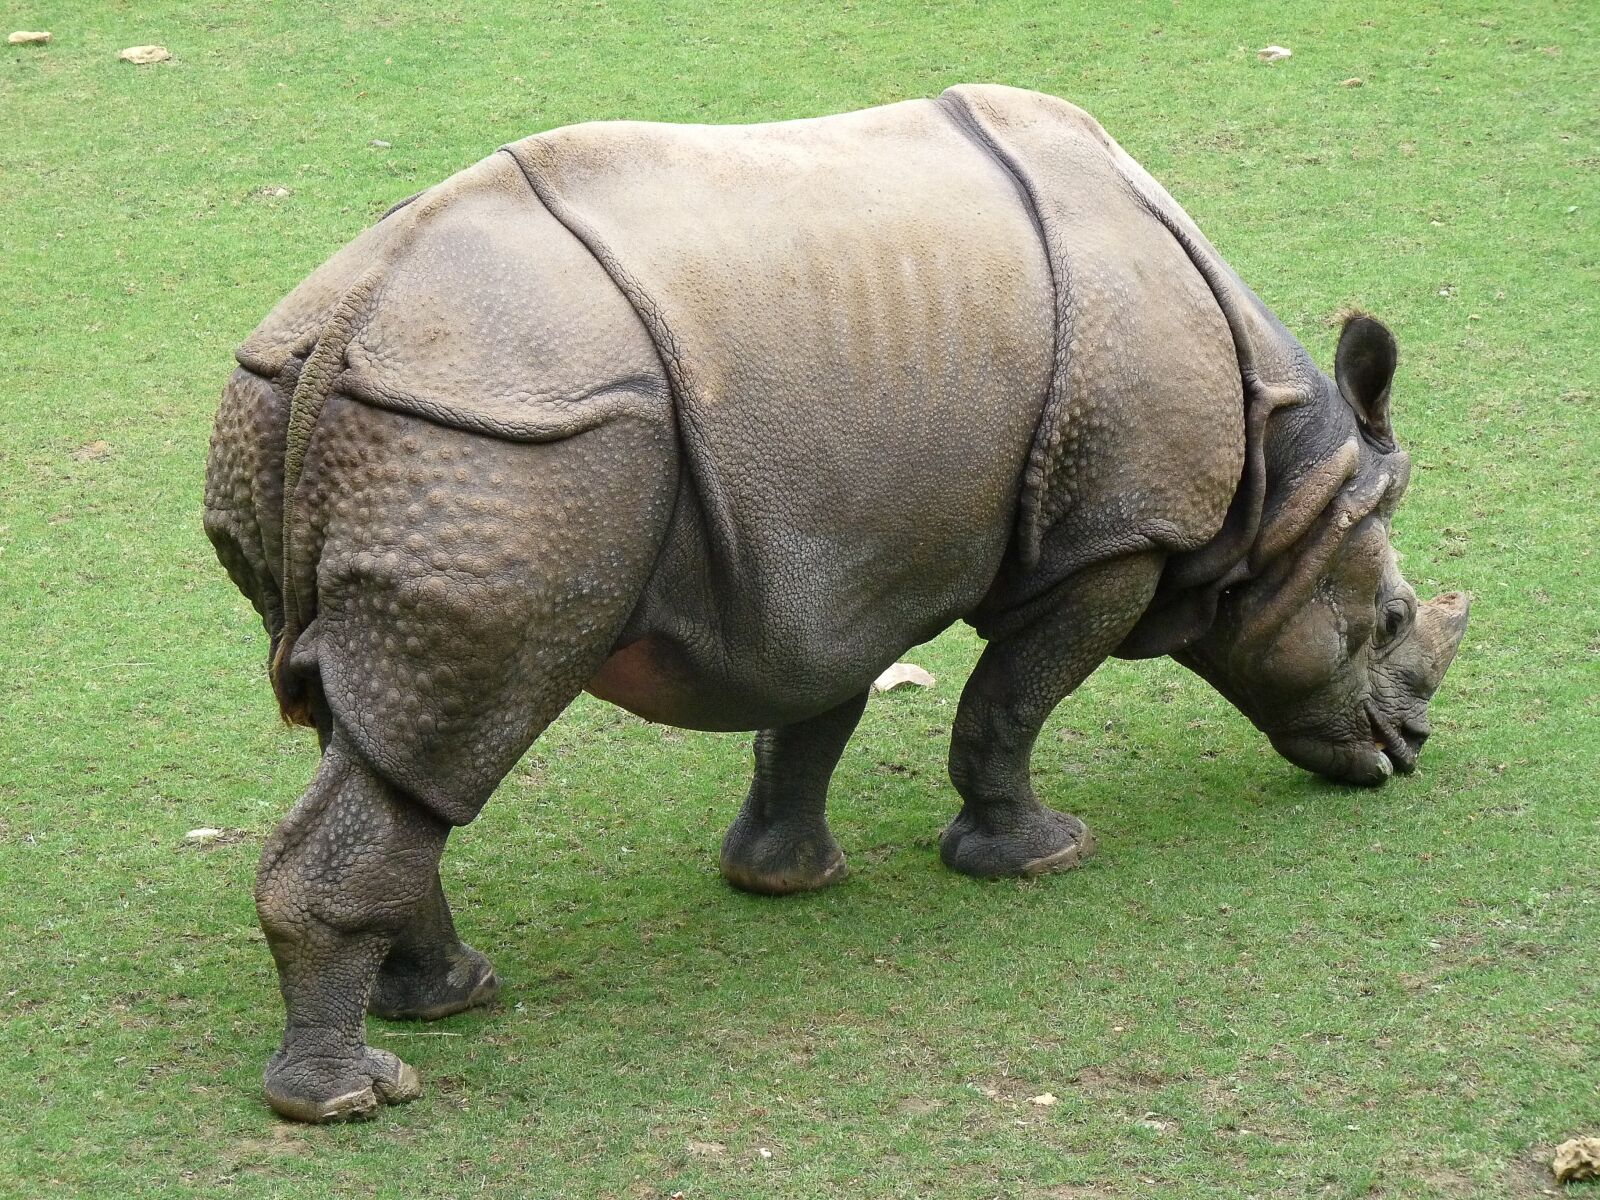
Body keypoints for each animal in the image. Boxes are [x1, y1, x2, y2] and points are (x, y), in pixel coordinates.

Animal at [204, 85, 1469, 1122]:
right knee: (449, 728)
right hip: (501, 447)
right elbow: (1010, 698)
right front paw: (1041, 856)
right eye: (1394, 621)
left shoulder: (836, 556)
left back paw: (446, 999)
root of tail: (341, 327)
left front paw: (784, 878)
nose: (1404, 750)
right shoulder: (1110, 538)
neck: (1288, 485)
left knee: (382, 739)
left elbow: (814, 714)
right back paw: (356, 1096)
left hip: (349, 426)